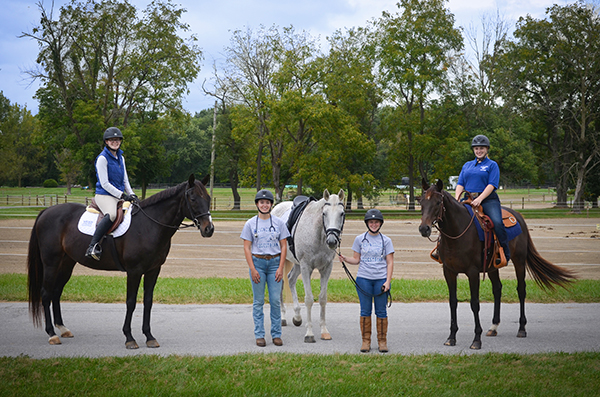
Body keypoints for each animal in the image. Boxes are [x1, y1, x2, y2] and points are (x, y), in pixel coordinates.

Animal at [29, 175, 216, 348]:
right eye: (193, 198)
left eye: (208, 198)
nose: (209, 229)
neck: (149, 225)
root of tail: (46, 211)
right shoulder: (134, 271)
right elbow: (131, 302)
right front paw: (129, 338)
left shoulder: (153, 270)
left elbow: (148, 302)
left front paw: (149, 336)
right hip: (51, 263)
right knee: (46, 293)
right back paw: (52, 334)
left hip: (66, 264)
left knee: (56, 292)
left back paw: (63, 328)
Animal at [270, 189, 344, 344]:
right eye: (324, 213)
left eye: (341, 213)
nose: (332, 241)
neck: (318, 234)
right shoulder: (306, 267)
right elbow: (309, 299)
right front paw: (309, 334)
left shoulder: (326, 268)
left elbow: (322, 298)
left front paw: (324, 331)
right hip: (284, 262)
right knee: (281, 283)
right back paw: (283, 317)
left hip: (297, 264)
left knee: (290, 279)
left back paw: (297, 316)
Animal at [418, 179, 576, 350]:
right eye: (421, 202)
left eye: (438, 202)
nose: (424, 228)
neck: (457, 233)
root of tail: (518, 216)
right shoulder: (449, 271)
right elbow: (453, 302)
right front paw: (451, 337)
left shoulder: (473, 272)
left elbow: (475, 303)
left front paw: (476, 340)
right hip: (492, 267)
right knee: (497, 289)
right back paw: (493, 327)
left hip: (519, 261)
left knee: (521, 290)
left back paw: (522, 329)